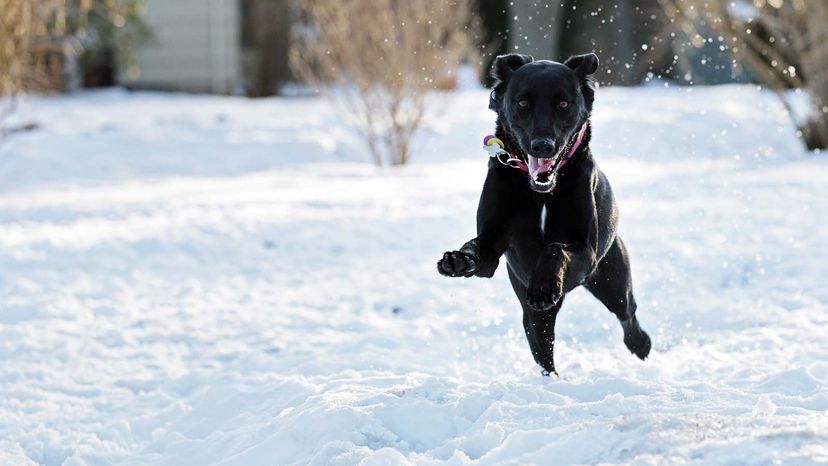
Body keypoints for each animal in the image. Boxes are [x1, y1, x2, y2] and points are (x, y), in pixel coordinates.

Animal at [436, 53, 652, 374]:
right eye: (522, 102)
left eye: (563, 103)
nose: (543, 145)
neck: (541, 194)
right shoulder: (492, 244)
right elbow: (476, 248)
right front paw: (457, 260)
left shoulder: (586, 252)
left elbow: (554, 248)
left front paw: (544, 286)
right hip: (533, 320)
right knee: (544, 351)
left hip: (612, 280)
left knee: (627, 312)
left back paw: (640, 344)